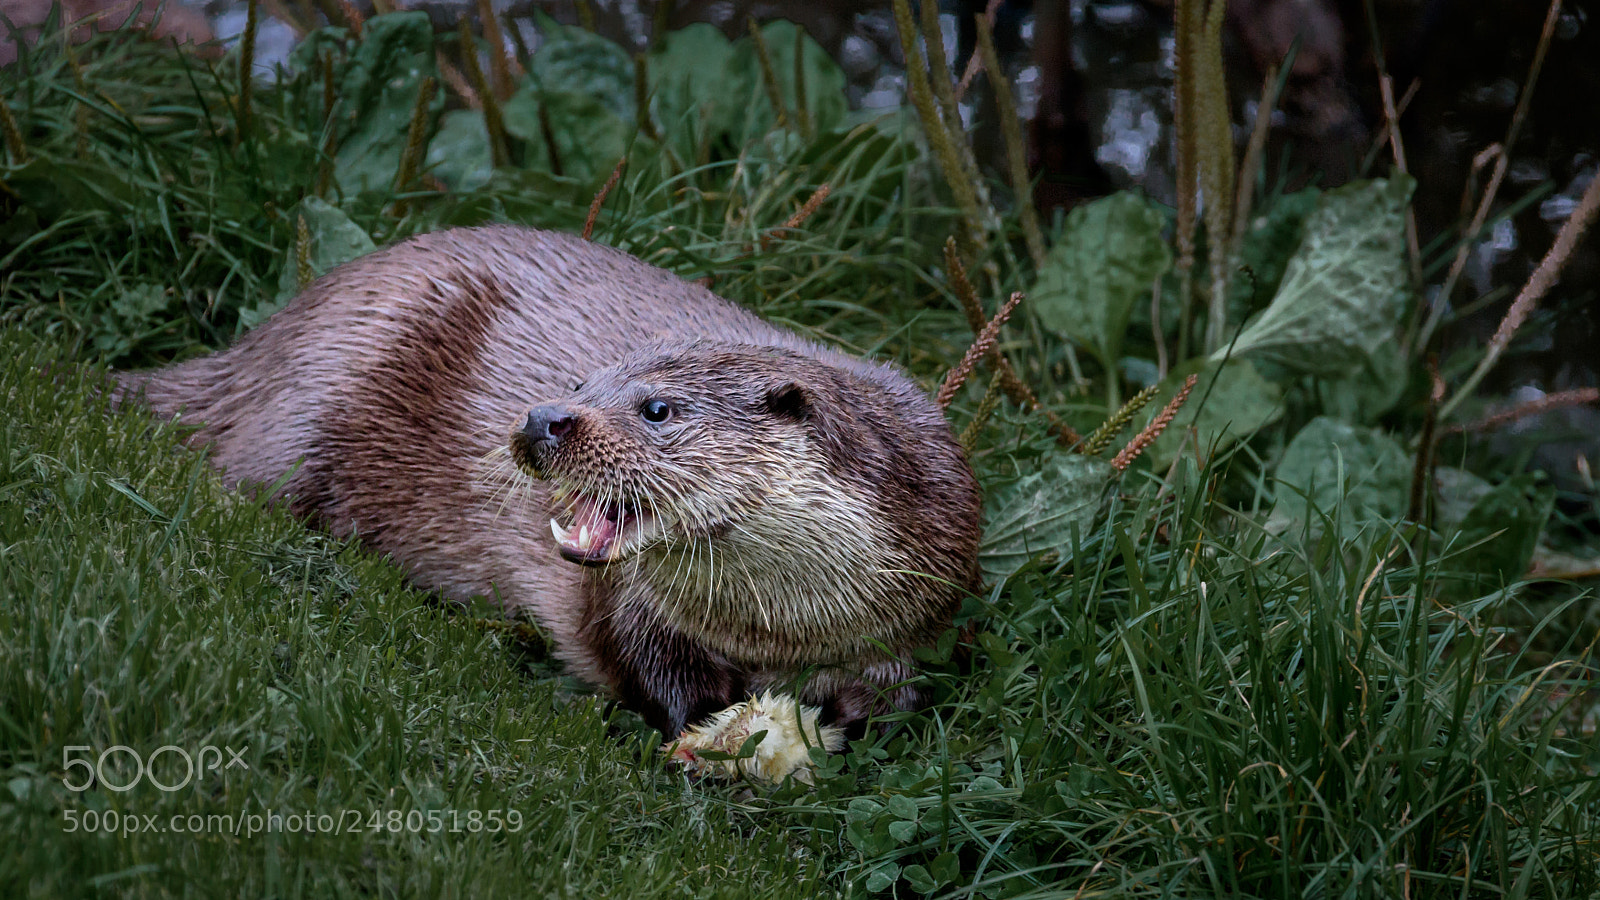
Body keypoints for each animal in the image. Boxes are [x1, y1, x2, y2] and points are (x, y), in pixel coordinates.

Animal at [119, 225, 983, 740]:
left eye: (657, 408)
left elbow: (901, 698)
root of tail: (266, 342)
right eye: (581, 381)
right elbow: (647, 672)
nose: (542, 419)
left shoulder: (917, 617)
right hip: (319, 392)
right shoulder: (633, 611)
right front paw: (714, 730)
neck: (783, 629)